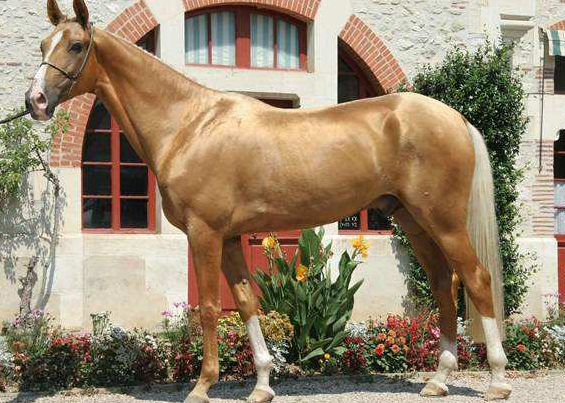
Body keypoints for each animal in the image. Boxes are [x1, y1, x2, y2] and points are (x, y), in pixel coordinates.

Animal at [25, 1, 511, 401]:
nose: (36, 101)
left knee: (476, 278)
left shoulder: (205, 234)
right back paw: (438, 380)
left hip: (443, 220)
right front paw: (261, 385)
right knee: (445, 285)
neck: (189, 125)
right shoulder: (228, 237)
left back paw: (498, 380)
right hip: (413, 220)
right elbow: (244, 303)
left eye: (75, 45)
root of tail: (455, 117)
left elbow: (208, 308)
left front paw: (202, 387)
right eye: (44, 44)